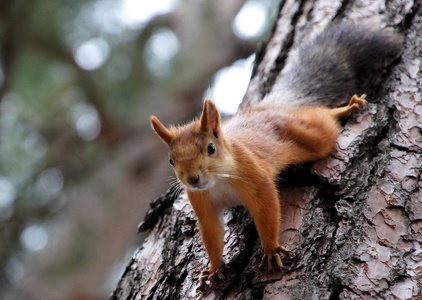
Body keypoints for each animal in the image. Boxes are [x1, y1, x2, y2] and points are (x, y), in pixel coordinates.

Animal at [150, 22, 400, 292]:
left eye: (210, 148)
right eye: (171, 160)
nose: (193, 179)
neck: (219, 180)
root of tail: (269, 108)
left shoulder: (255, 176)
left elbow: (267, 210)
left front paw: (270, 250)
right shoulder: (201, 203)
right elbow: (212, 233)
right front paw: (215, 269)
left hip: (312, 137)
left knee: (322, 120)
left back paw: (345, 108)